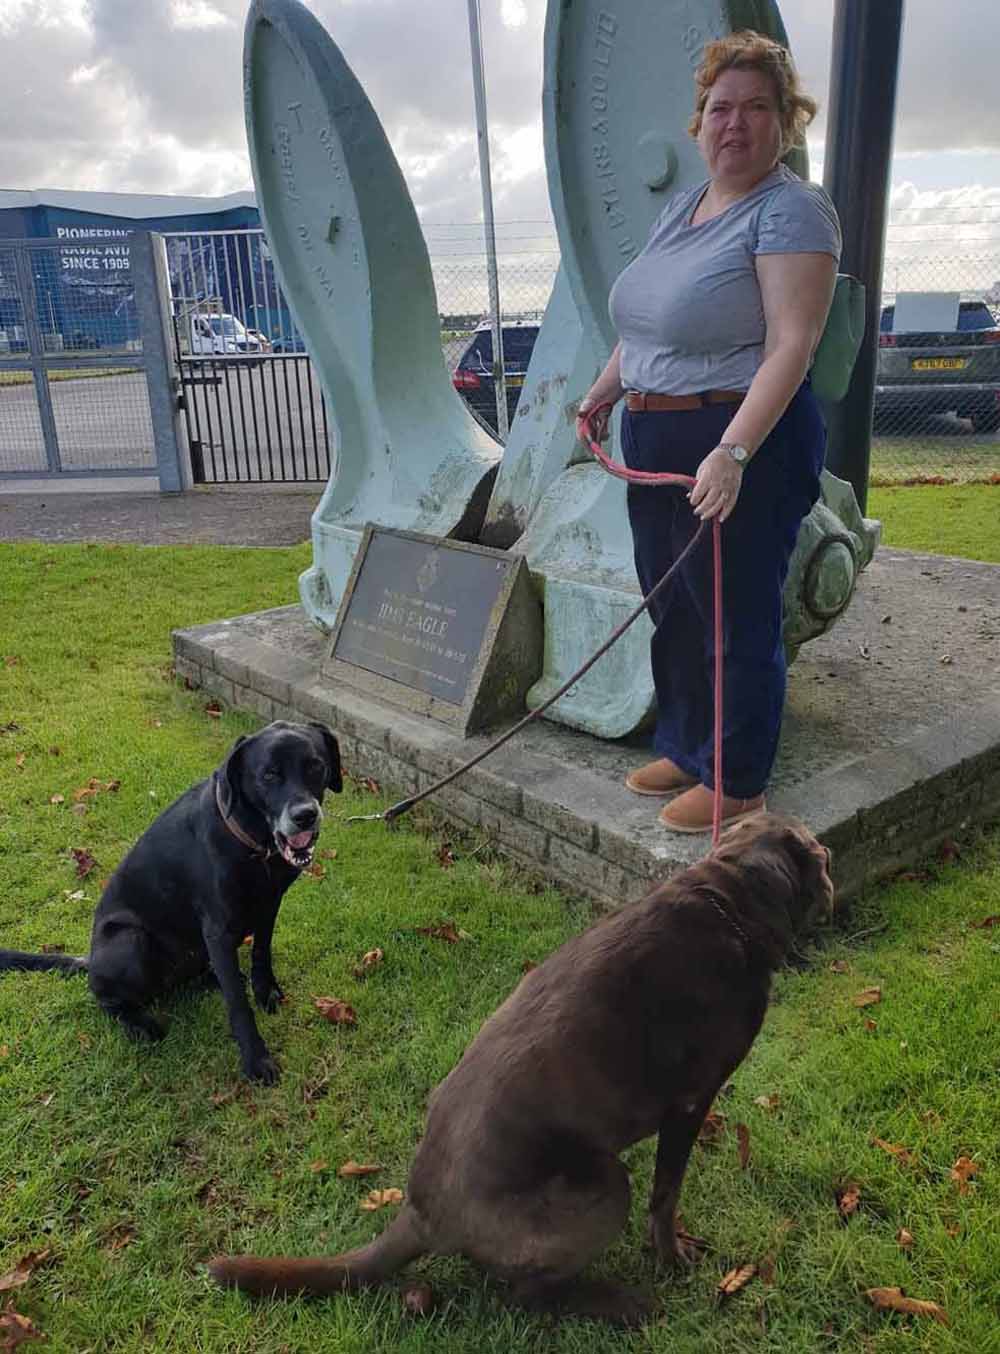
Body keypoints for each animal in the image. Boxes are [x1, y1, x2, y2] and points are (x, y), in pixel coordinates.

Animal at [0, 720, 339, 1088]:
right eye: (269, 774)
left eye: (315, 766)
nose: (306, 816)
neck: (251, 843)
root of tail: (89, 960)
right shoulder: (218, 931)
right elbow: (238, 1003)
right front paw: (256, 1060)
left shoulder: (269, 906)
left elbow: (261, 954)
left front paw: (267, 993)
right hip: (129, 941)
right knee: (105, 998)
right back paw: (140, 1023)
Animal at [213, 812, 838, 1321]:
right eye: (821, 857)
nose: (829, 869)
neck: (726, 898)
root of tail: (420, 1212)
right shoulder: (690, 1102)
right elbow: (667, 1194)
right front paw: (671, 1256)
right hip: (604, 1185)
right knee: (526, 1295)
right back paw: (619, 1302)